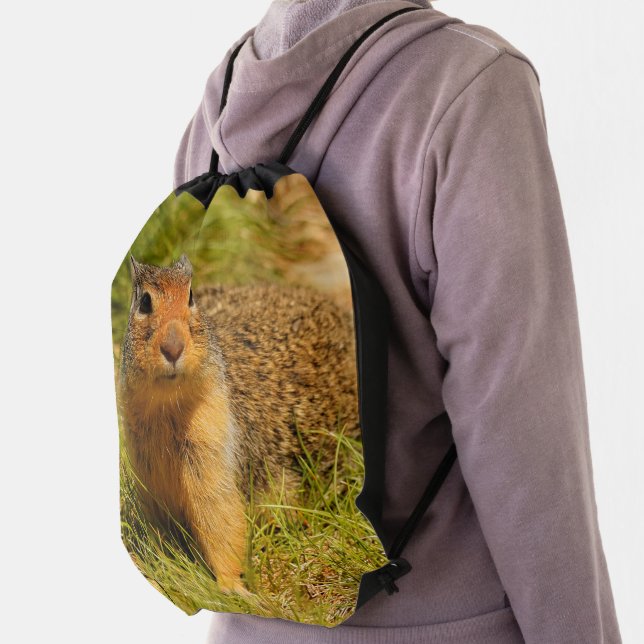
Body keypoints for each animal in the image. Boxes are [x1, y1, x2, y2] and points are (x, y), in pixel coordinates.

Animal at [116, 253, 359, 593]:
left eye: (191, 296)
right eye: (145, 302)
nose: (173, 348)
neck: (167, 408)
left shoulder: (213, 448)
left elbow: (221, 518)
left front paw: (231, 587)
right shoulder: (145, 467)